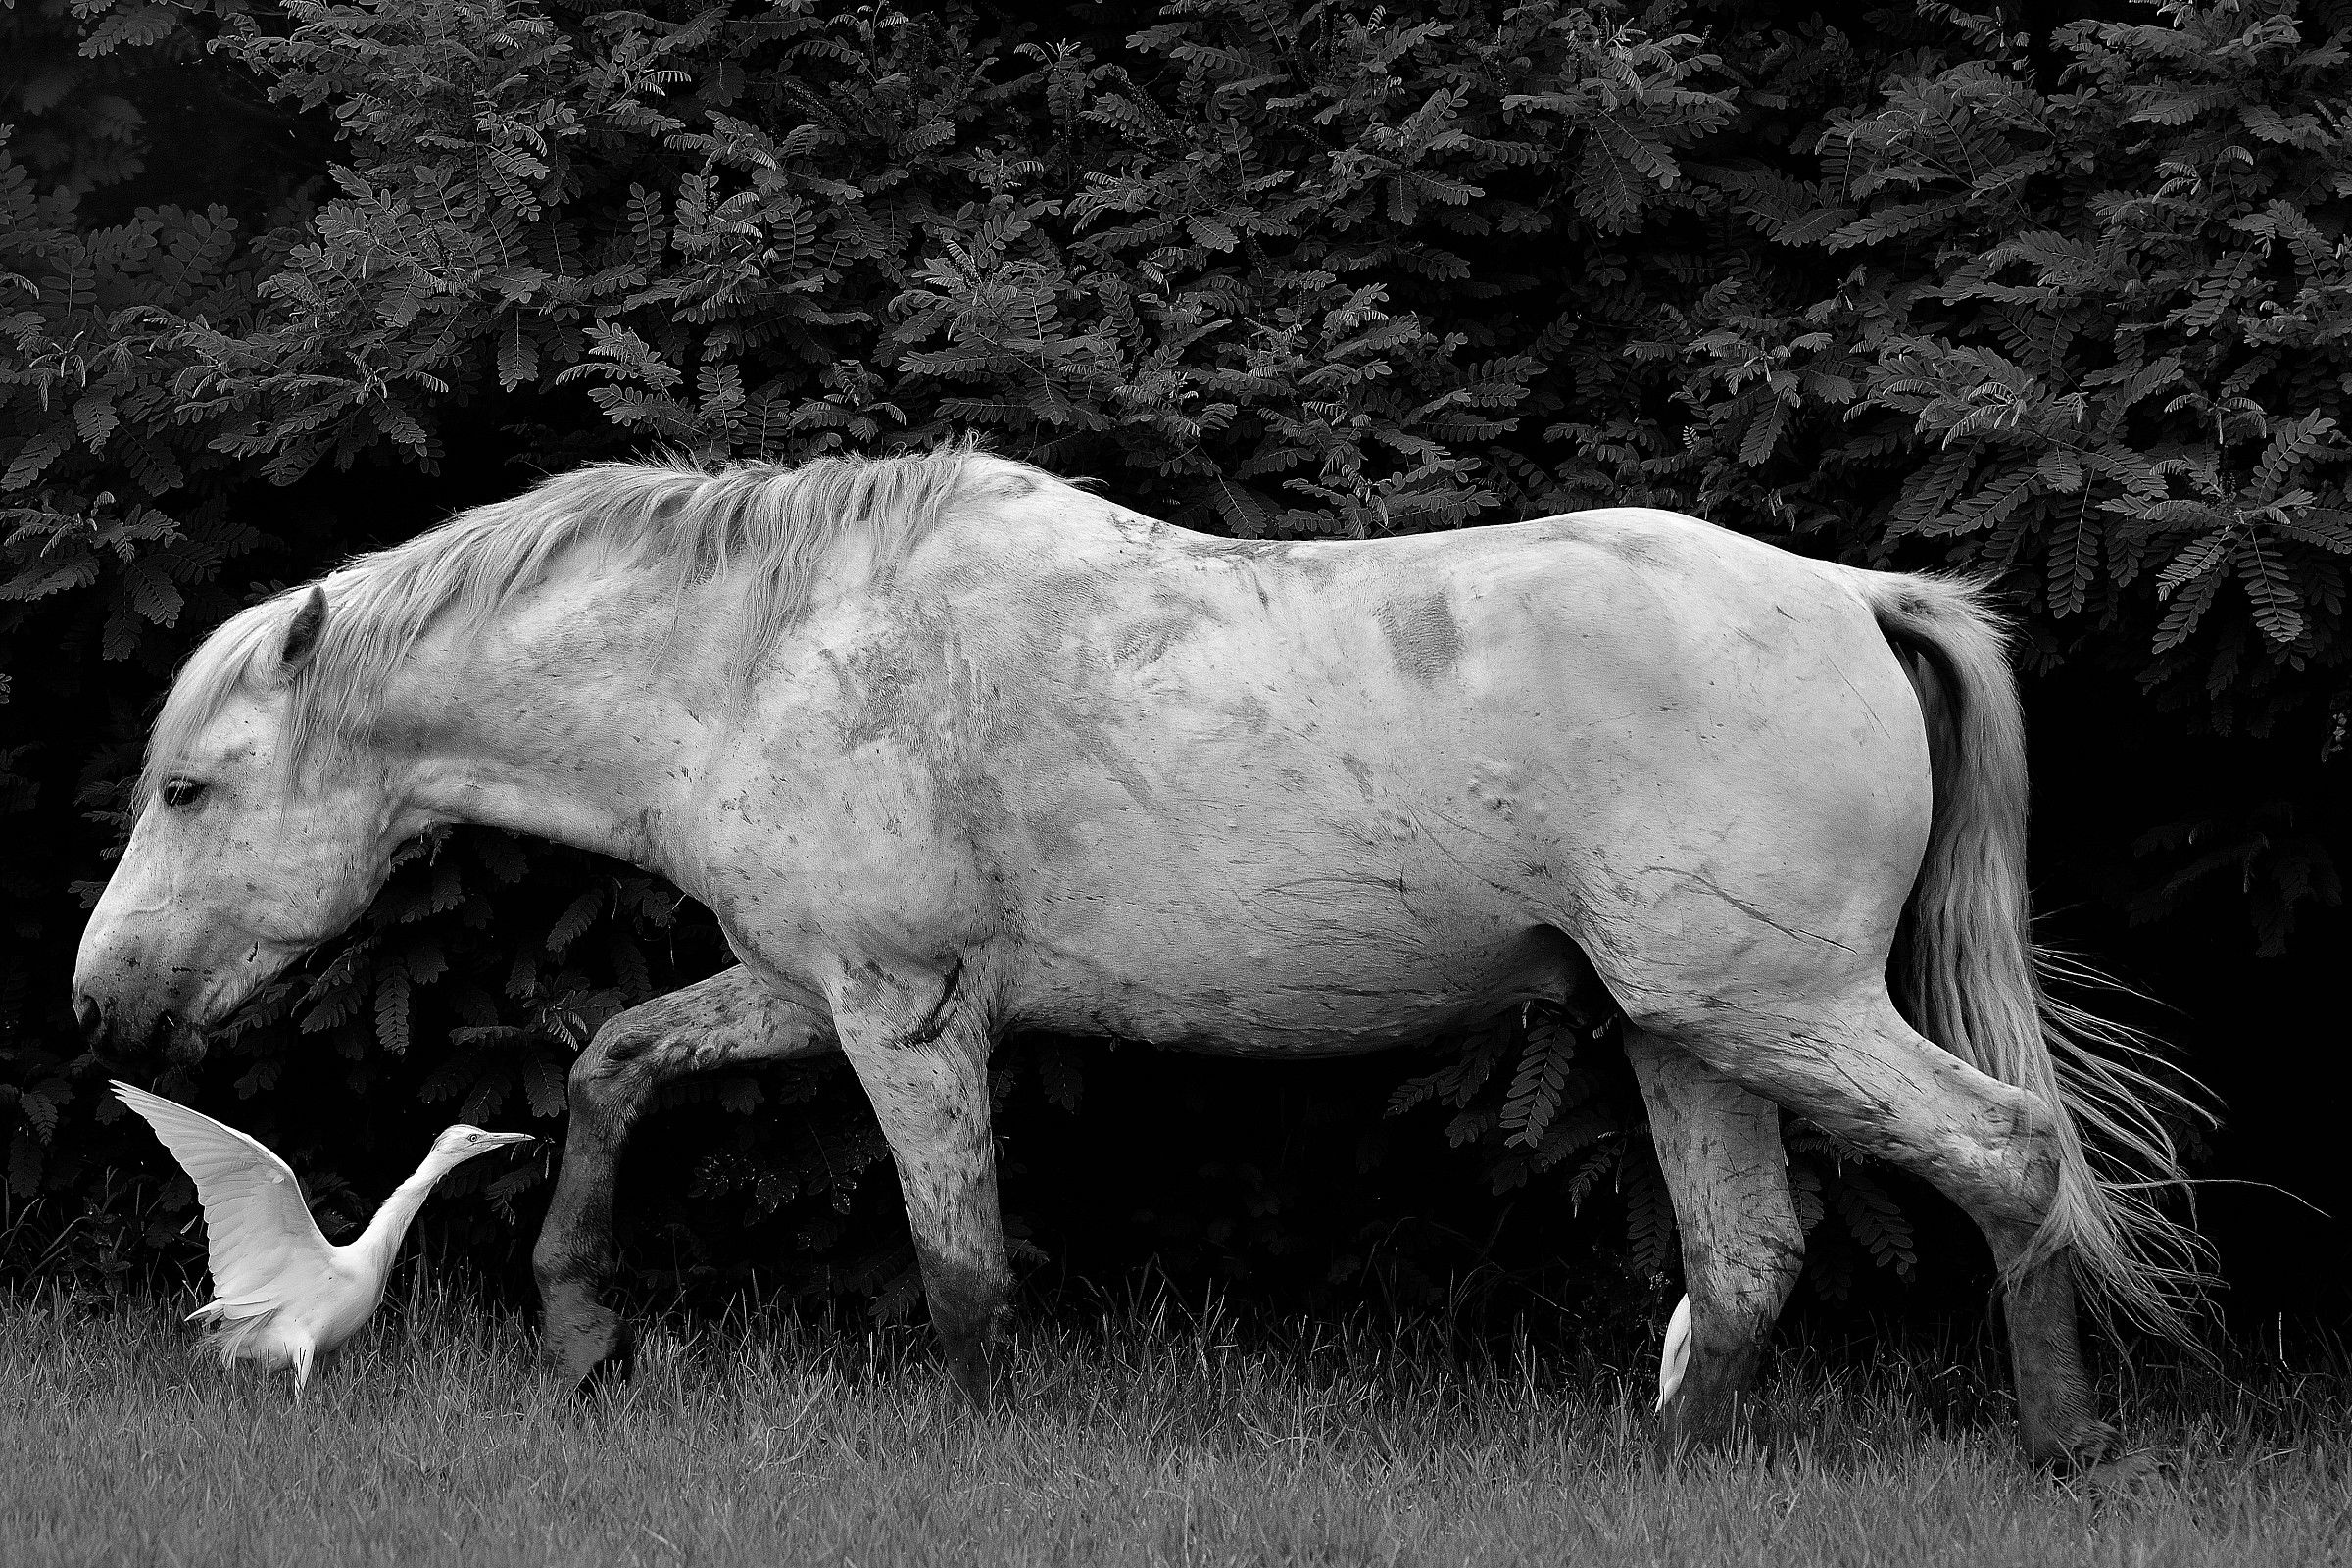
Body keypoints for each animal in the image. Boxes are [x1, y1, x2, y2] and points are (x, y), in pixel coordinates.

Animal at [73, 444, 2201, 1470]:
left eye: (189, 784)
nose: (100, 1002)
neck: (771, 649)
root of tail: (1856, 593)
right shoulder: (804, 987)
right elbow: (610, 1062)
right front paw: (588, 1329)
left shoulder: (901, 1013)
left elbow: (962, 1270)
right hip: (1688, 1026)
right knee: (1747, 1261)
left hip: (1776, 1010)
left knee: (2009, 1152)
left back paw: (2065, 1444)